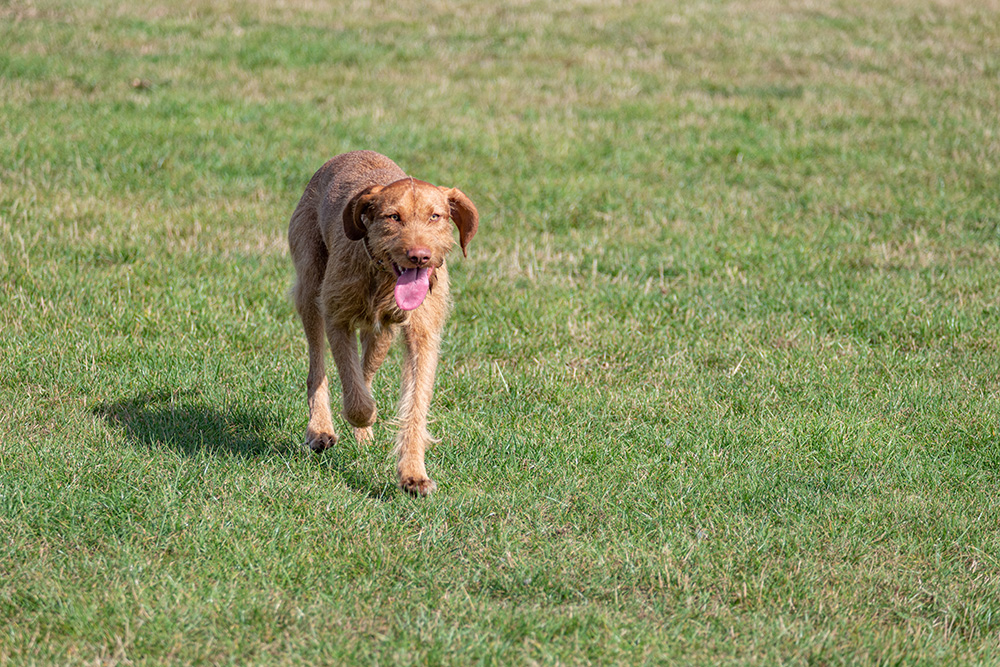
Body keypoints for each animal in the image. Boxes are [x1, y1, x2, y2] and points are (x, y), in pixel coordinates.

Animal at [288, 153, 478, 496]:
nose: (419, 255)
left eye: (435, 216)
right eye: (393, 217)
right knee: (317, 368)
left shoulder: (423, 337)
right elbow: (354, 395)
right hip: (310, 288)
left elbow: (414, 405)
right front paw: (362, 416)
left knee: (366, 369)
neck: (383, 279)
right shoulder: (337, 317)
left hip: (382, 337)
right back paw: (320, 429)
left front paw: (413, 474)